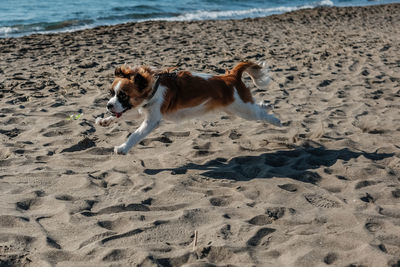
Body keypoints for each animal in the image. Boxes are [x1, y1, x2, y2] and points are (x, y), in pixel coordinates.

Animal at [95, 61, 282, 155]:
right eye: (111, 93)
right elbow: (124, 115)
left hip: (242, 110)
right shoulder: (142, 110)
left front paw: (123, 148)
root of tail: (231, 77)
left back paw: (276, 120)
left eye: (123, 95)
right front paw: (105, 121)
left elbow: (135, 135)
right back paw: (267, 105)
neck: (154, 87)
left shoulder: (151, 120)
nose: (108, 105)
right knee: (257, 107)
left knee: (259, 114)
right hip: (236, 108)